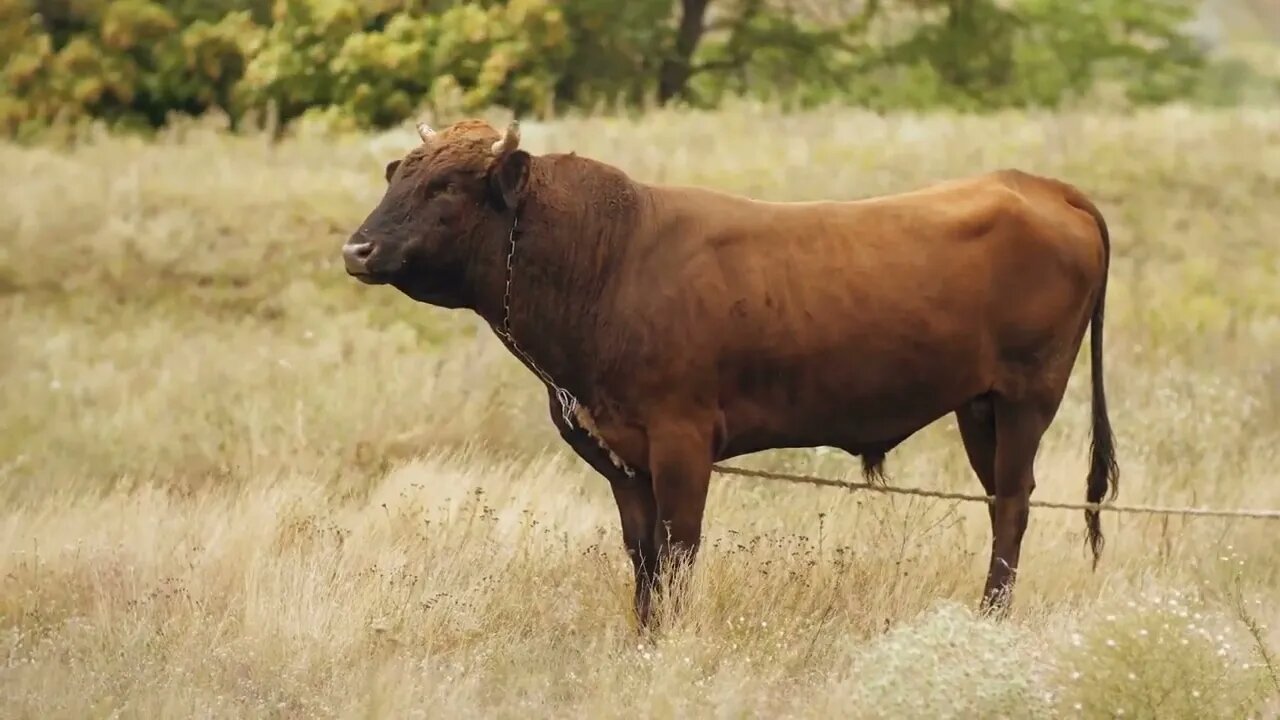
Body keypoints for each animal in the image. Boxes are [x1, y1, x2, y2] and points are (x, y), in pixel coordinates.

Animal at [343, 117, 1121, 622]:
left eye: (446, 186)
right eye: (396, 175)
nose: (357, 249)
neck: (608, 259)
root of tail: (1037, 186)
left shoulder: (682, 442)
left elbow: (678, 549)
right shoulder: (622, 457)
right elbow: (643, 556)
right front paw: (645, 637)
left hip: (1028, 395)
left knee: (1013, 503)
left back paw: (992, 615)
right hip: (978, 405)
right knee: (999, 501)